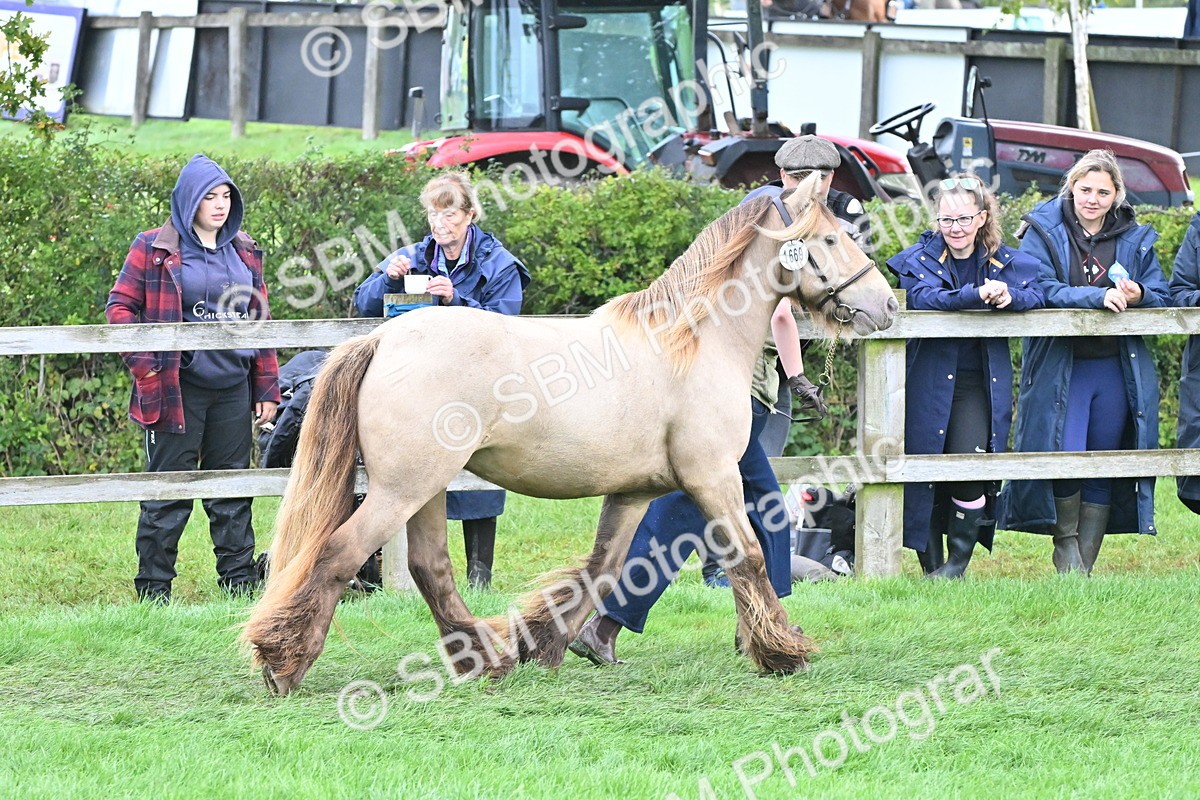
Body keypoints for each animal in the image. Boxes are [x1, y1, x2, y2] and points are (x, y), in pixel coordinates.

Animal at [242, 173, 898, 695]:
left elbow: (605, 566)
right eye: (833, 238)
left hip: (423, 489)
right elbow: (750, 555)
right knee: (339, 555)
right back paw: (284, 663)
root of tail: (383, 339)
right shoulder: (713, 478)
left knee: (431, 567)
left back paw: (486, 659)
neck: (692, 339)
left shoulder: (635, 492)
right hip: (401, 489)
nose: (887, 305)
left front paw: (547, 645)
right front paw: (783, 651)